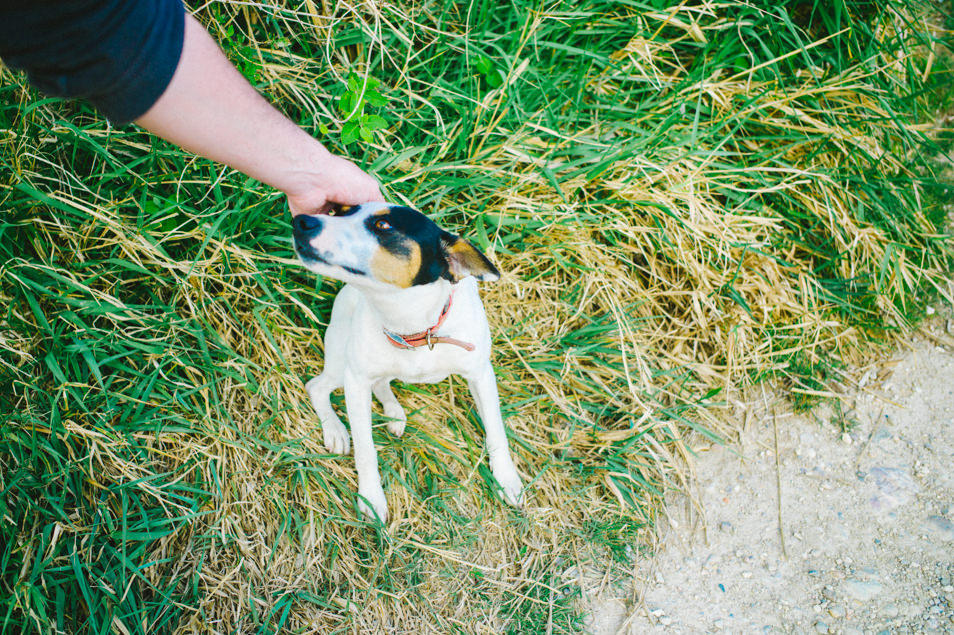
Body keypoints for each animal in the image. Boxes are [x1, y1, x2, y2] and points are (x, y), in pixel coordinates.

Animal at [292, 204, 524, 520]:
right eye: (337, 212)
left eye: (383, 225)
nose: (301, 221)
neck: (411, 325)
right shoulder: (356, 382)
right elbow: (365, 449)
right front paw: (371, 497)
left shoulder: (480, 374)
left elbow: (496, 430)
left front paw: (506, 478)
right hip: (342, 365)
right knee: (317, 387)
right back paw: (336, 429)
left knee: (381, 383)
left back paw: (394, 413)